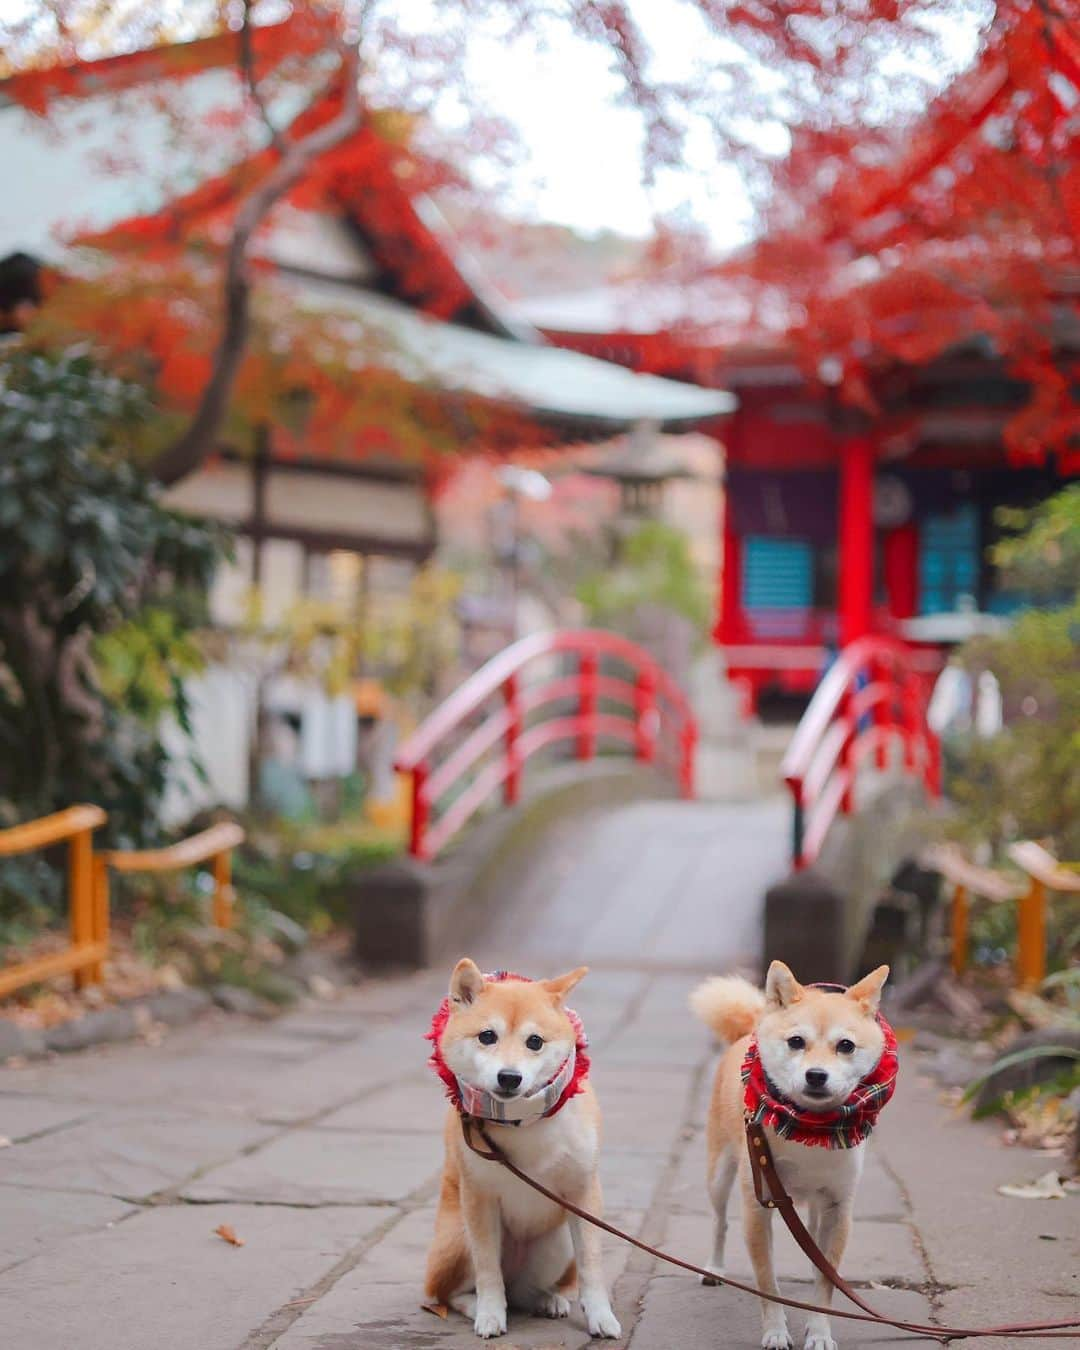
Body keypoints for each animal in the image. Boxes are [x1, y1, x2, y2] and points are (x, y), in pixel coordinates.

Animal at [423, 961, 621, 1339]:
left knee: (521, 1291)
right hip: (459, 1239)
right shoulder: (479, 1198)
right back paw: (477, 1307)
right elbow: (488, 1271)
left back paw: (546, 1300)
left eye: (535, 1042)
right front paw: (489, 1314)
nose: (509, 1077)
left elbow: (591, 1266)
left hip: (556, 1244)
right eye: (487, 1036)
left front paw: (601, 1316)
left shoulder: (583, 1191)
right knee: (452, 1294)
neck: (523, 1122)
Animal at [691, 961, 896, 1350]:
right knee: (720, 1221)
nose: (816, 1075)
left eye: (846, 1046)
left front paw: (819, 1332)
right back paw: (714, 1267)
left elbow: (826, 1282)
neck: (809, 1129)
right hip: (719, 1176)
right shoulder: (759, 1206)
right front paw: (774, 1331)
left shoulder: (837, 1208)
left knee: (814, 1245)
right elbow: (767, 1282)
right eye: (796, 1042)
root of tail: (748, 1029)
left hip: (816, 1205)